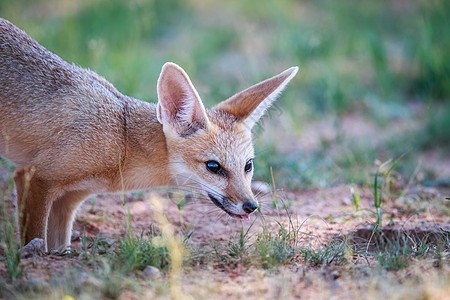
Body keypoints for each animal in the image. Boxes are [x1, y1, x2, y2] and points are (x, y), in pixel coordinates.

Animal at [0, 17, 298, 252]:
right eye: (214, 167)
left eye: (248, 166)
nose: (251, 206)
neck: (121, 139)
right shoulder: (34, 178)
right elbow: (35, 238)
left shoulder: (68, 200)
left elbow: (57, 247)